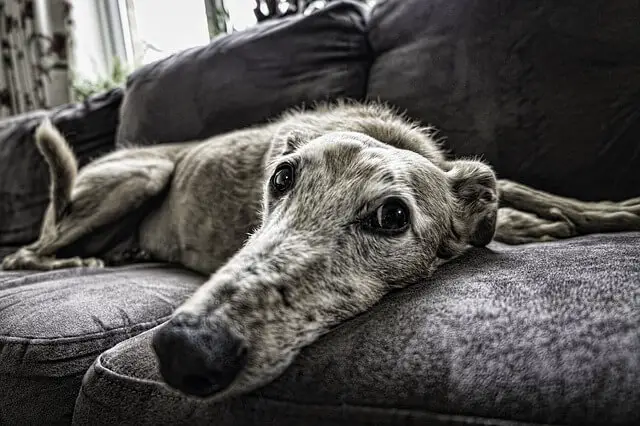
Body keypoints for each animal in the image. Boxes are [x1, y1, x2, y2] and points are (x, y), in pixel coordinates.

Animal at [2, 101, 636, 402]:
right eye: (280, 177)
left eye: (392, 216)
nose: (185, 350)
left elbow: (522, 187)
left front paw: (605, 212)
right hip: (140, 175)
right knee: (26, 254)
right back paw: (75, 260)